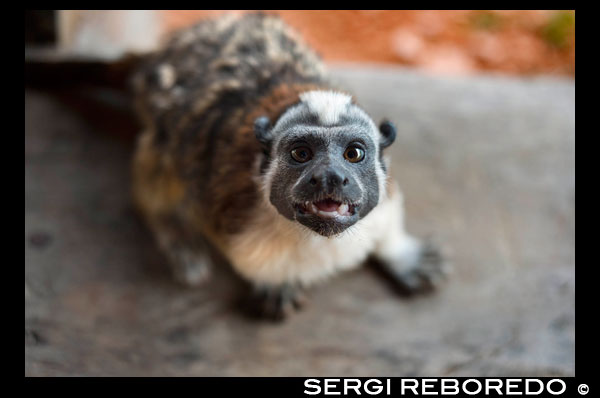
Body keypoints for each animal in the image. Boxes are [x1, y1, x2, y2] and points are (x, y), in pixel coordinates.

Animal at [132, 13, 450, 320]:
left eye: (354, 153)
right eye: (301, 153)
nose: (331, 177)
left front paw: (401, 253)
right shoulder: (226, 204)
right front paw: (275, 284)